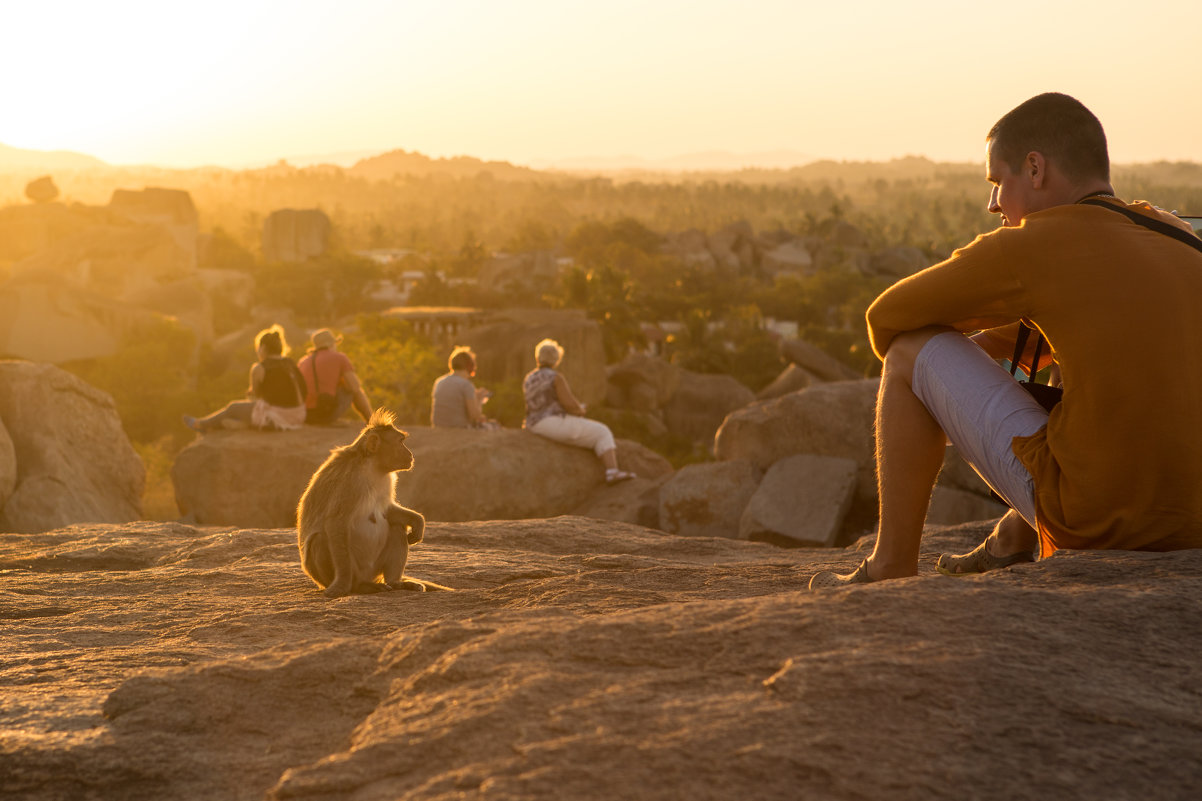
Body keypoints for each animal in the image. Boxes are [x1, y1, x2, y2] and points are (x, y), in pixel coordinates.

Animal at [295, 408, 427, 596]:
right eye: (400, 442)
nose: (410, 454)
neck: (372, 465)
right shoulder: (349, 480)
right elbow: (336, 523)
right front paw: (341, 585)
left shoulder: (387, 479)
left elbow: (387, 510)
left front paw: (417, 522)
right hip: (348, 572)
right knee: (319, 540)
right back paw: (359, 587)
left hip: (374, 570)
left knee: (396, 526)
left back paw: (396, 583)